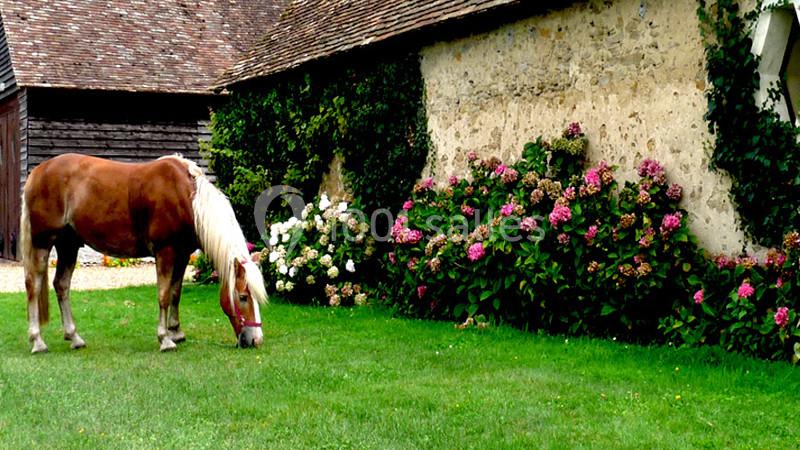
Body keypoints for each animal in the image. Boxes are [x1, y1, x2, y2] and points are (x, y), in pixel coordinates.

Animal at [19, 153, 267, 353]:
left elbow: (176, 293)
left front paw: (176, 332)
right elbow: (163, 294)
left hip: (68, 244)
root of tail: (38, 172)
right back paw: (37, 341)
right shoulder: (165, 252)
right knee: (34, 285)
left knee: (61, 285)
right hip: (42, 243)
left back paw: (74, 337)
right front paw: (165, 339)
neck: (186, 196)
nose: (256, 340)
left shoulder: (183, 254)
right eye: (243, 297)